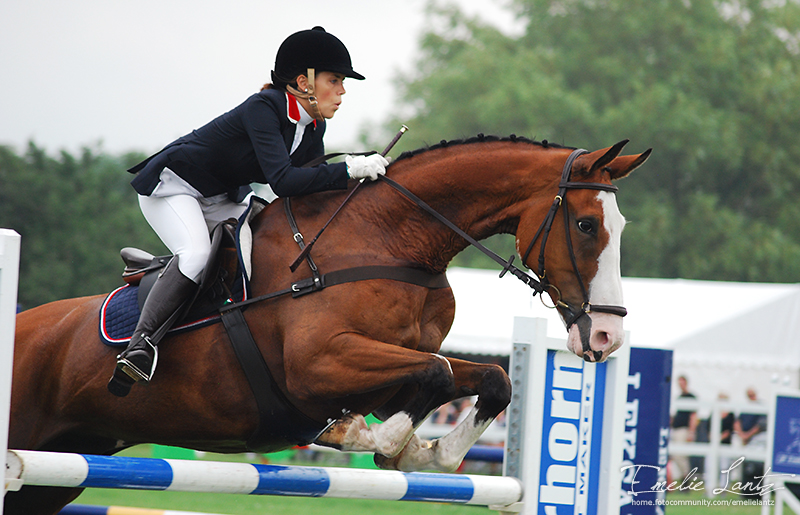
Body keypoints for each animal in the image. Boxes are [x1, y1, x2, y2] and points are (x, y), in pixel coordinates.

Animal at [4, 135, 648, 512]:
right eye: (587, 225)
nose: (607, 336)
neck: (390, 242)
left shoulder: (390, 366)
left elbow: (488, 378)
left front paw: (428, 456)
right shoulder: (318, 366)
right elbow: (436, 377)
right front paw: (360, 437)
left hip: (62, 467)